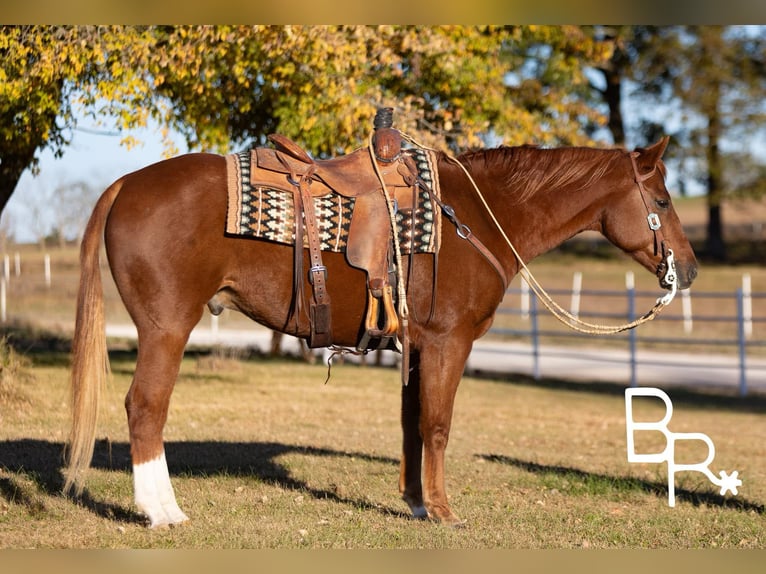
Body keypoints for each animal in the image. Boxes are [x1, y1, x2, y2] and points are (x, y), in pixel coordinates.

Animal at [64, 135, 697, 528]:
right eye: (664, 199)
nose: (687, 270)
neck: (475, 217)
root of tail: (126, 184)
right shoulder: (447, 342)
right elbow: (438, 425)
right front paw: (443, 512)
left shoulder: (415, 347)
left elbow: (413, 423)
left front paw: (416, 504)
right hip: (167, 327)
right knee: (146, 406)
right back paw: (162, 511)